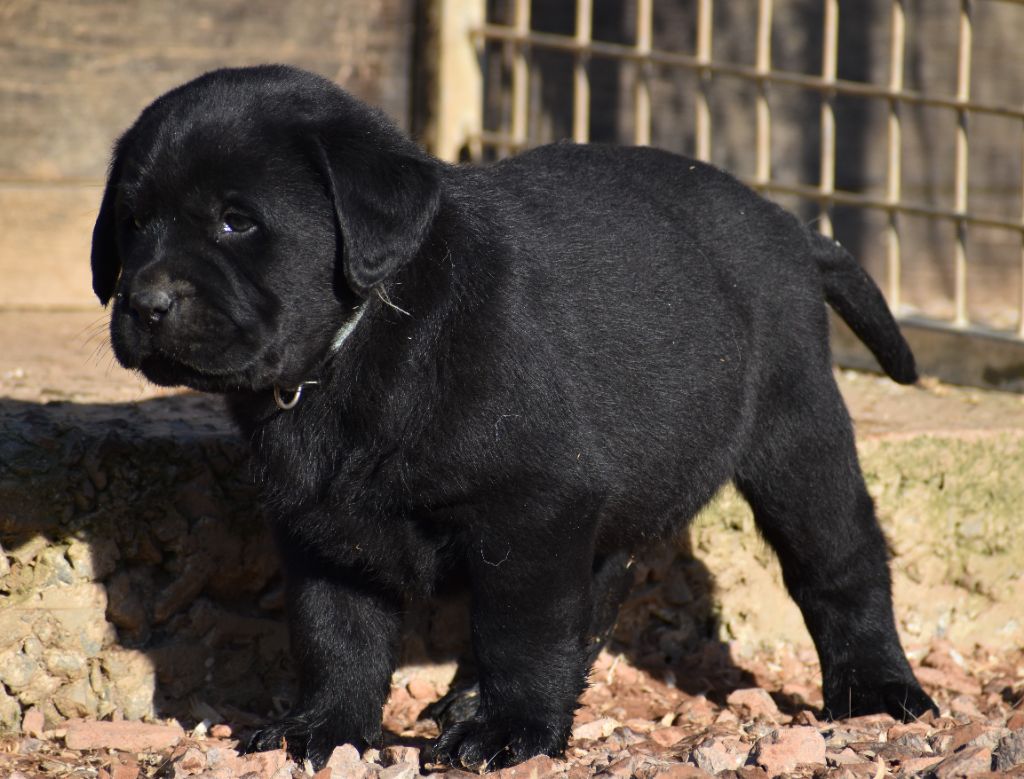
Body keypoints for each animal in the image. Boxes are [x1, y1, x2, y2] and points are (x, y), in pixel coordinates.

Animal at [91, 64, 937, 771]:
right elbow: (336, 632)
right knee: (599, 591)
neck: (358, 344)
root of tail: (791, 226)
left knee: (843, 562)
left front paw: (510, 731)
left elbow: (521, 630)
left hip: (797, 434)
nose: (145, 301)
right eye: (132, 223)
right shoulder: (322, 525)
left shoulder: (535, 506)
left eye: (237, 221)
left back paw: (878, 689)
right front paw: (324, 727)